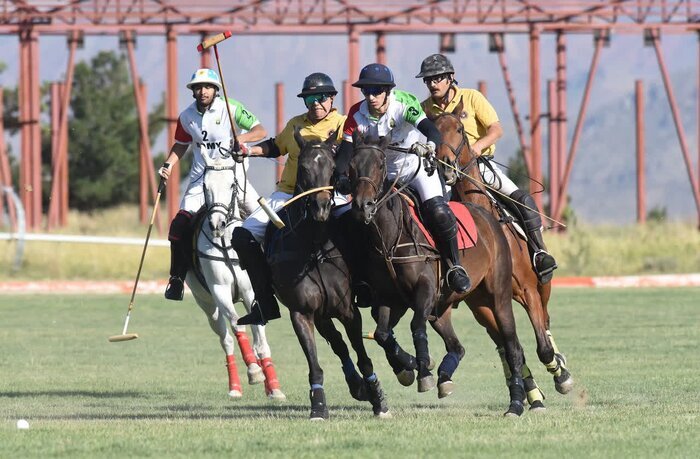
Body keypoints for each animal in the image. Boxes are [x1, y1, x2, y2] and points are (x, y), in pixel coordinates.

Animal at [186, 153, 288, 400]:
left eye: (232, 184)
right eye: (205, 185)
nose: (217, 224)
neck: (226, 242)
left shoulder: (251, 291)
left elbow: (261, 341)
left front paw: (273, 386)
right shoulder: (219, 290)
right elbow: (236, 326)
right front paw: (253, 371)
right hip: (206, 304)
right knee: (226, 340)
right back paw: (235, 386)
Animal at [264, 130, 392, 420]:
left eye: (333, 168)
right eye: (303, 167)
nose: (321, 207)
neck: (314, 248)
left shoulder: (347, 310)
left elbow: (363, 357)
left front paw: (379, 400)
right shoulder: (302, 312)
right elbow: (315, 363)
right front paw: (319, 406)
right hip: (321, 314)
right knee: (337, 343)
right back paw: (355, 385)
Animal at [348, 132, 524, 416]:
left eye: (380, 165)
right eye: (350, 167)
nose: (363, 206)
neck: (391, 237)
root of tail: (489, 217)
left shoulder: (426, 290)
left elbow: (415, 326)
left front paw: (423, 372)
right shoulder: (390, 298)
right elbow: (383, 334)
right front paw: (411, 366)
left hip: (498, 297)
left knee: (513, 347)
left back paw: (516, 404)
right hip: (443, 309)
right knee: (457, 346)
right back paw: (444, 376)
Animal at [432, 99, 576, 400]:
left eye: (460, 128)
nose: (447, 167)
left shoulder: (528, 291)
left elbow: (542, 347)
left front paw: (560, 374)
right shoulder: (482, 305)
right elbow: (514, 349)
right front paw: (531, 392)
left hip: (543, 287)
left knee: (546, 324)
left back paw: (561, 367)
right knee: (507, 346)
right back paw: (533, 393)